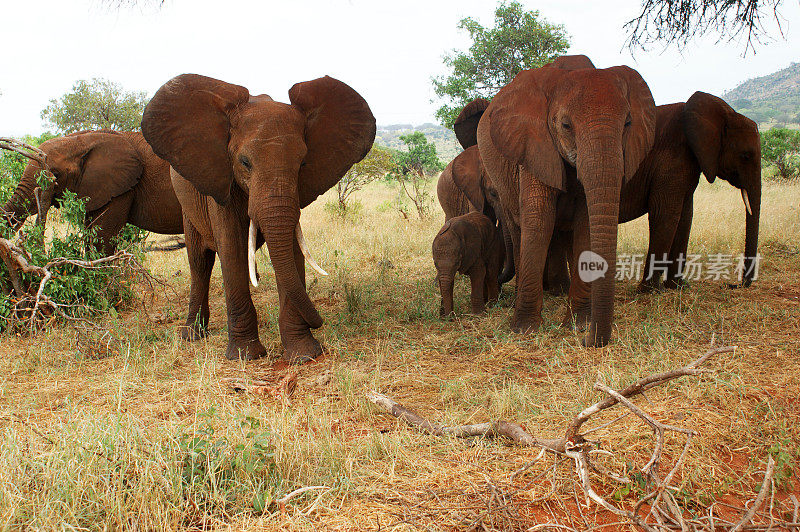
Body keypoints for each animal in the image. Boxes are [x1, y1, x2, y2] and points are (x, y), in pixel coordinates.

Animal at [142, 74, 376, 362]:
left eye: (302, 164)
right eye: (244, 163)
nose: (319, 322)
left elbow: (292, 250)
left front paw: (304, 354)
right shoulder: (221, 181)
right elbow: (231, 249)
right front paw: (244, 356)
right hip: (188, 206)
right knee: (200, 263)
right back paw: (192, 335)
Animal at [476, 53, 656, 344]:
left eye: (628, 123)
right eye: (565, 125)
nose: (589, 342)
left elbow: (585, 225)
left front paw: (578, 324)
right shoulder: (534, 146)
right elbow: (539, 220)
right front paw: (524, 329)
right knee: (519, 229)